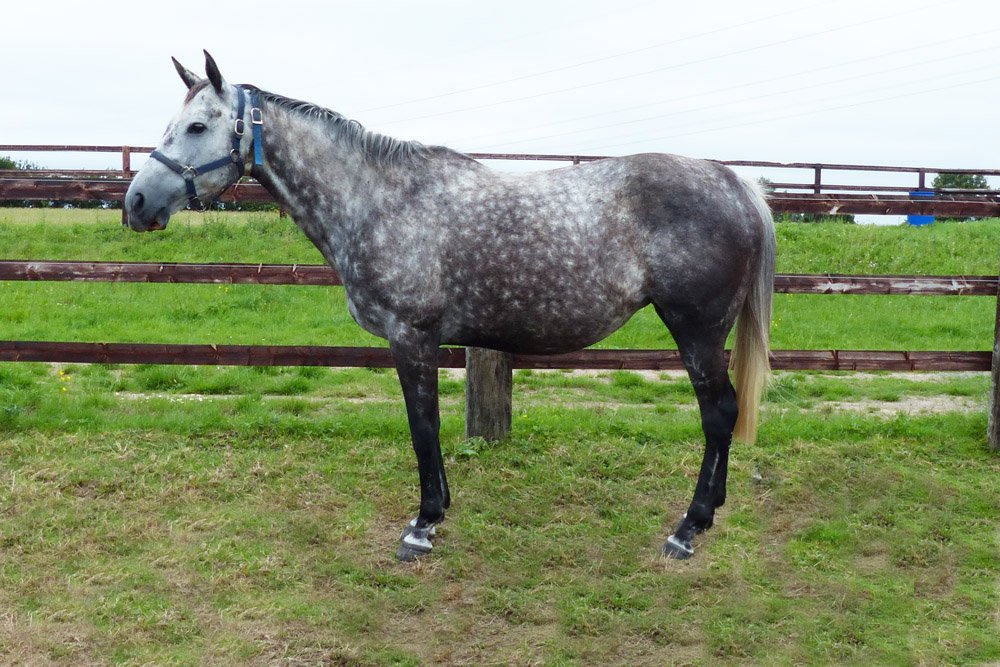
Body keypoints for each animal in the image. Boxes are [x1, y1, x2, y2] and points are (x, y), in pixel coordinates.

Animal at [125, 52, 775, 562]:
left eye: (198, 126)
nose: (135, 203)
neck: (379, 200)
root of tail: (736, 185)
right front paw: (436, 513)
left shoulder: (411, 337)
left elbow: (423, 425)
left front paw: (423, 524)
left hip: (696, 331)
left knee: (719, 413)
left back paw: (688, 528)